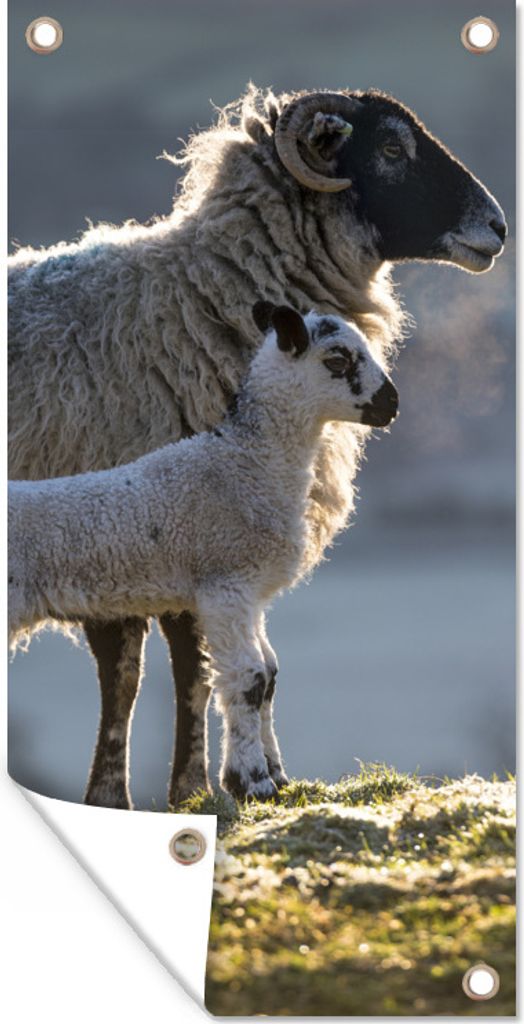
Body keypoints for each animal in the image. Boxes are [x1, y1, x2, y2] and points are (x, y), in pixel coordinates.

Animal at [9, 305, 398, 800]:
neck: (245, 462)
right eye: (338, 359)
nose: (392, 404)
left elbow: (269, 674)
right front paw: (251, 782)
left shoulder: (250, 593)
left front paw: (275, 777)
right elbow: (248, 678)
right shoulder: (223, 583)